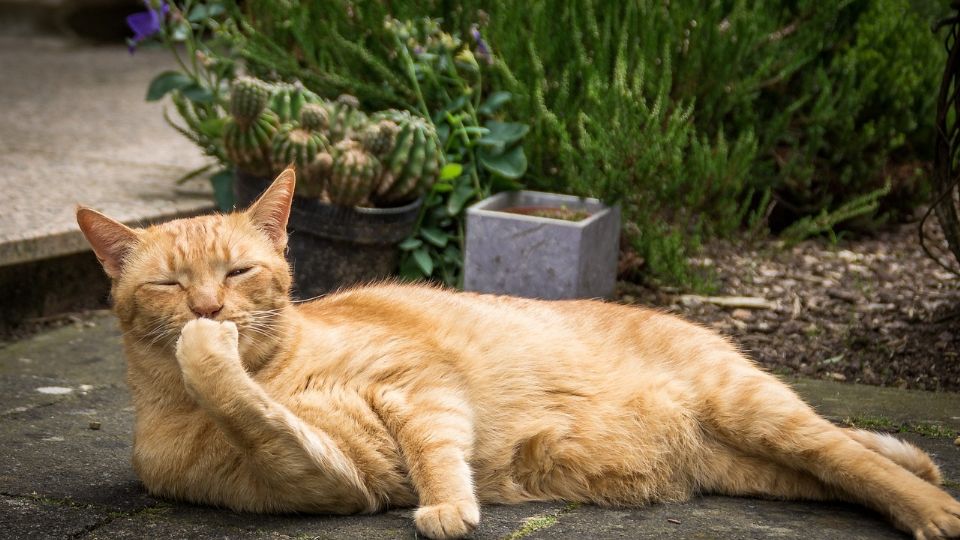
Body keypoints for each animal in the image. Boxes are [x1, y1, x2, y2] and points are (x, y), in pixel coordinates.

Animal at [79, 170, 960, 540]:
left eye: (236, 272)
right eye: (168, 283)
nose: (207, 309)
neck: (281, 366)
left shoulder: (418, 384)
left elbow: (435, 446)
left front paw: (446, 505)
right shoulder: (325, 479)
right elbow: (258, 414)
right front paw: (210, 355)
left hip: (751, 408)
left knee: (846, 452)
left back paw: (932, 505)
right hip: (749, 462)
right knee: (839, 466)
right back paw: (916, 466)